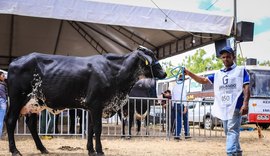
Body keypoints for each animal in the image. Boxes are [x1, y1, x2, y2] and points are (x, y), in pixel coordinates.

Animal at [5, 46, 167, 156]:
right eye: (151, 58)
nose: (164, 73)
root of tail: (16, 61)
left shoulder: (91, 107)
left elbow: (90, 129)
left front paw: (91, 150)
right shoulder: (96, 105)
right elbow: (97, 129)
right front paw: (100, 151)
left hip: (35, 103)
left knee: (31, 124)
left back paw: (43, 149)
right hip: (17, 99)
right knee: (11, 121)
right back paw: (15, 150)